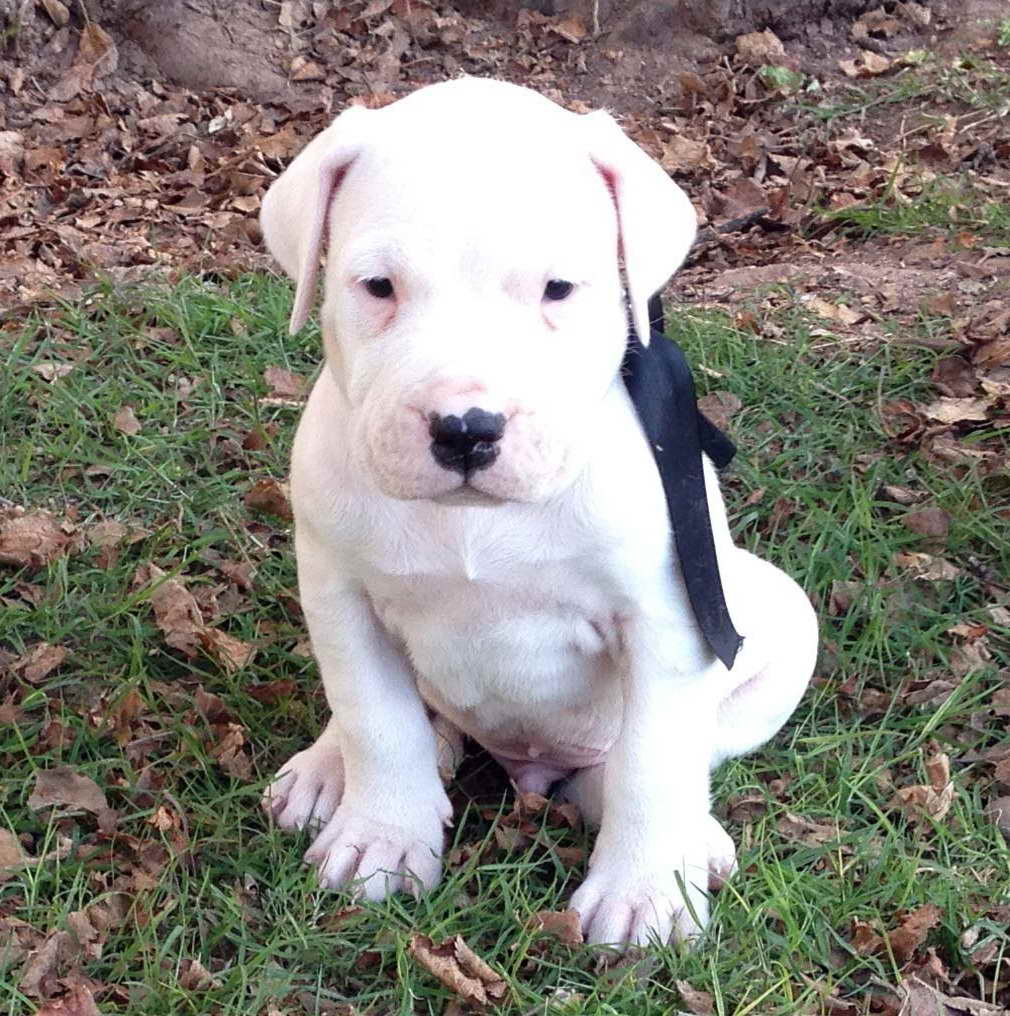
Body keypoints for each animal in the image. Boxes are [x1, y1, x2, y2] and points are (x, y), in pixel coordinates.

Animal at [256, 75, 816, 946]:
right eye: (378, 287)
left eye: (558, 289)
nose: (464, 429)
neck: (475, 519)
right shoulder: (340, 597)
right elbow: (377, 720)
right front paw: (382, 837)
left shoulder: (668, 616)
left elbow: (654, 759)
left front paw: (643, 891)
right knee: (415, 724)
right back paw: (326, 769)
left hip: (778, 618)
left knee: (658, 760)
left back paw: (688, 836)